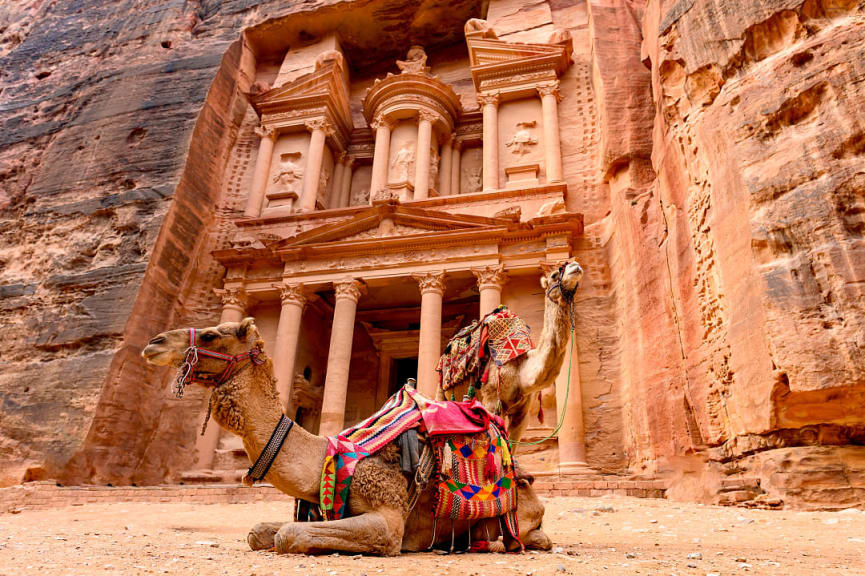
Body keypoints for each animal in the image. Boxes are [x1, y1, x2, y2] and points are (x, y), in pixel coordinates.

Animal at [140, 318, 548, 556]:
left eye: (211, 335)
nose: (153, 342)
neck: (327, 455)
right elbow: (259, 531)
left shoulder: (388, 519)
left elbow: (288, 535)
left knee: (531, 536)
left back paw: (497, 543)